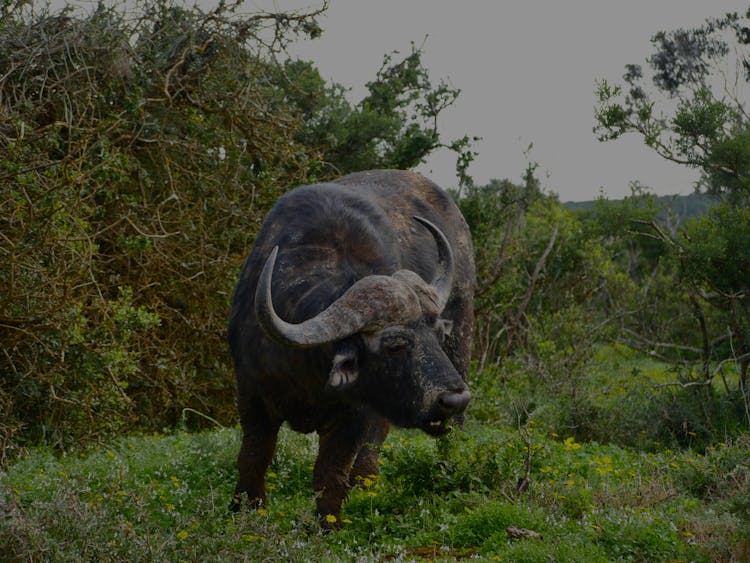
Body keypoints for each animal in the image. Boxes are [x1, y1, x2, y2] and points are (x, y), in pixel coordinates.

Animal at [228, 170, 476, 528]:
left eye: (436, 335)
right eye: (395, 344)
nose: (454, 399)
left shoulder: (355, 414)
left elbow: (330, 472)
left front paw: (325, 524)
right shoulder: (251, 394)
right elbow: (253, 455)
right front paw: (244, 508)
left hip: (463, 336)